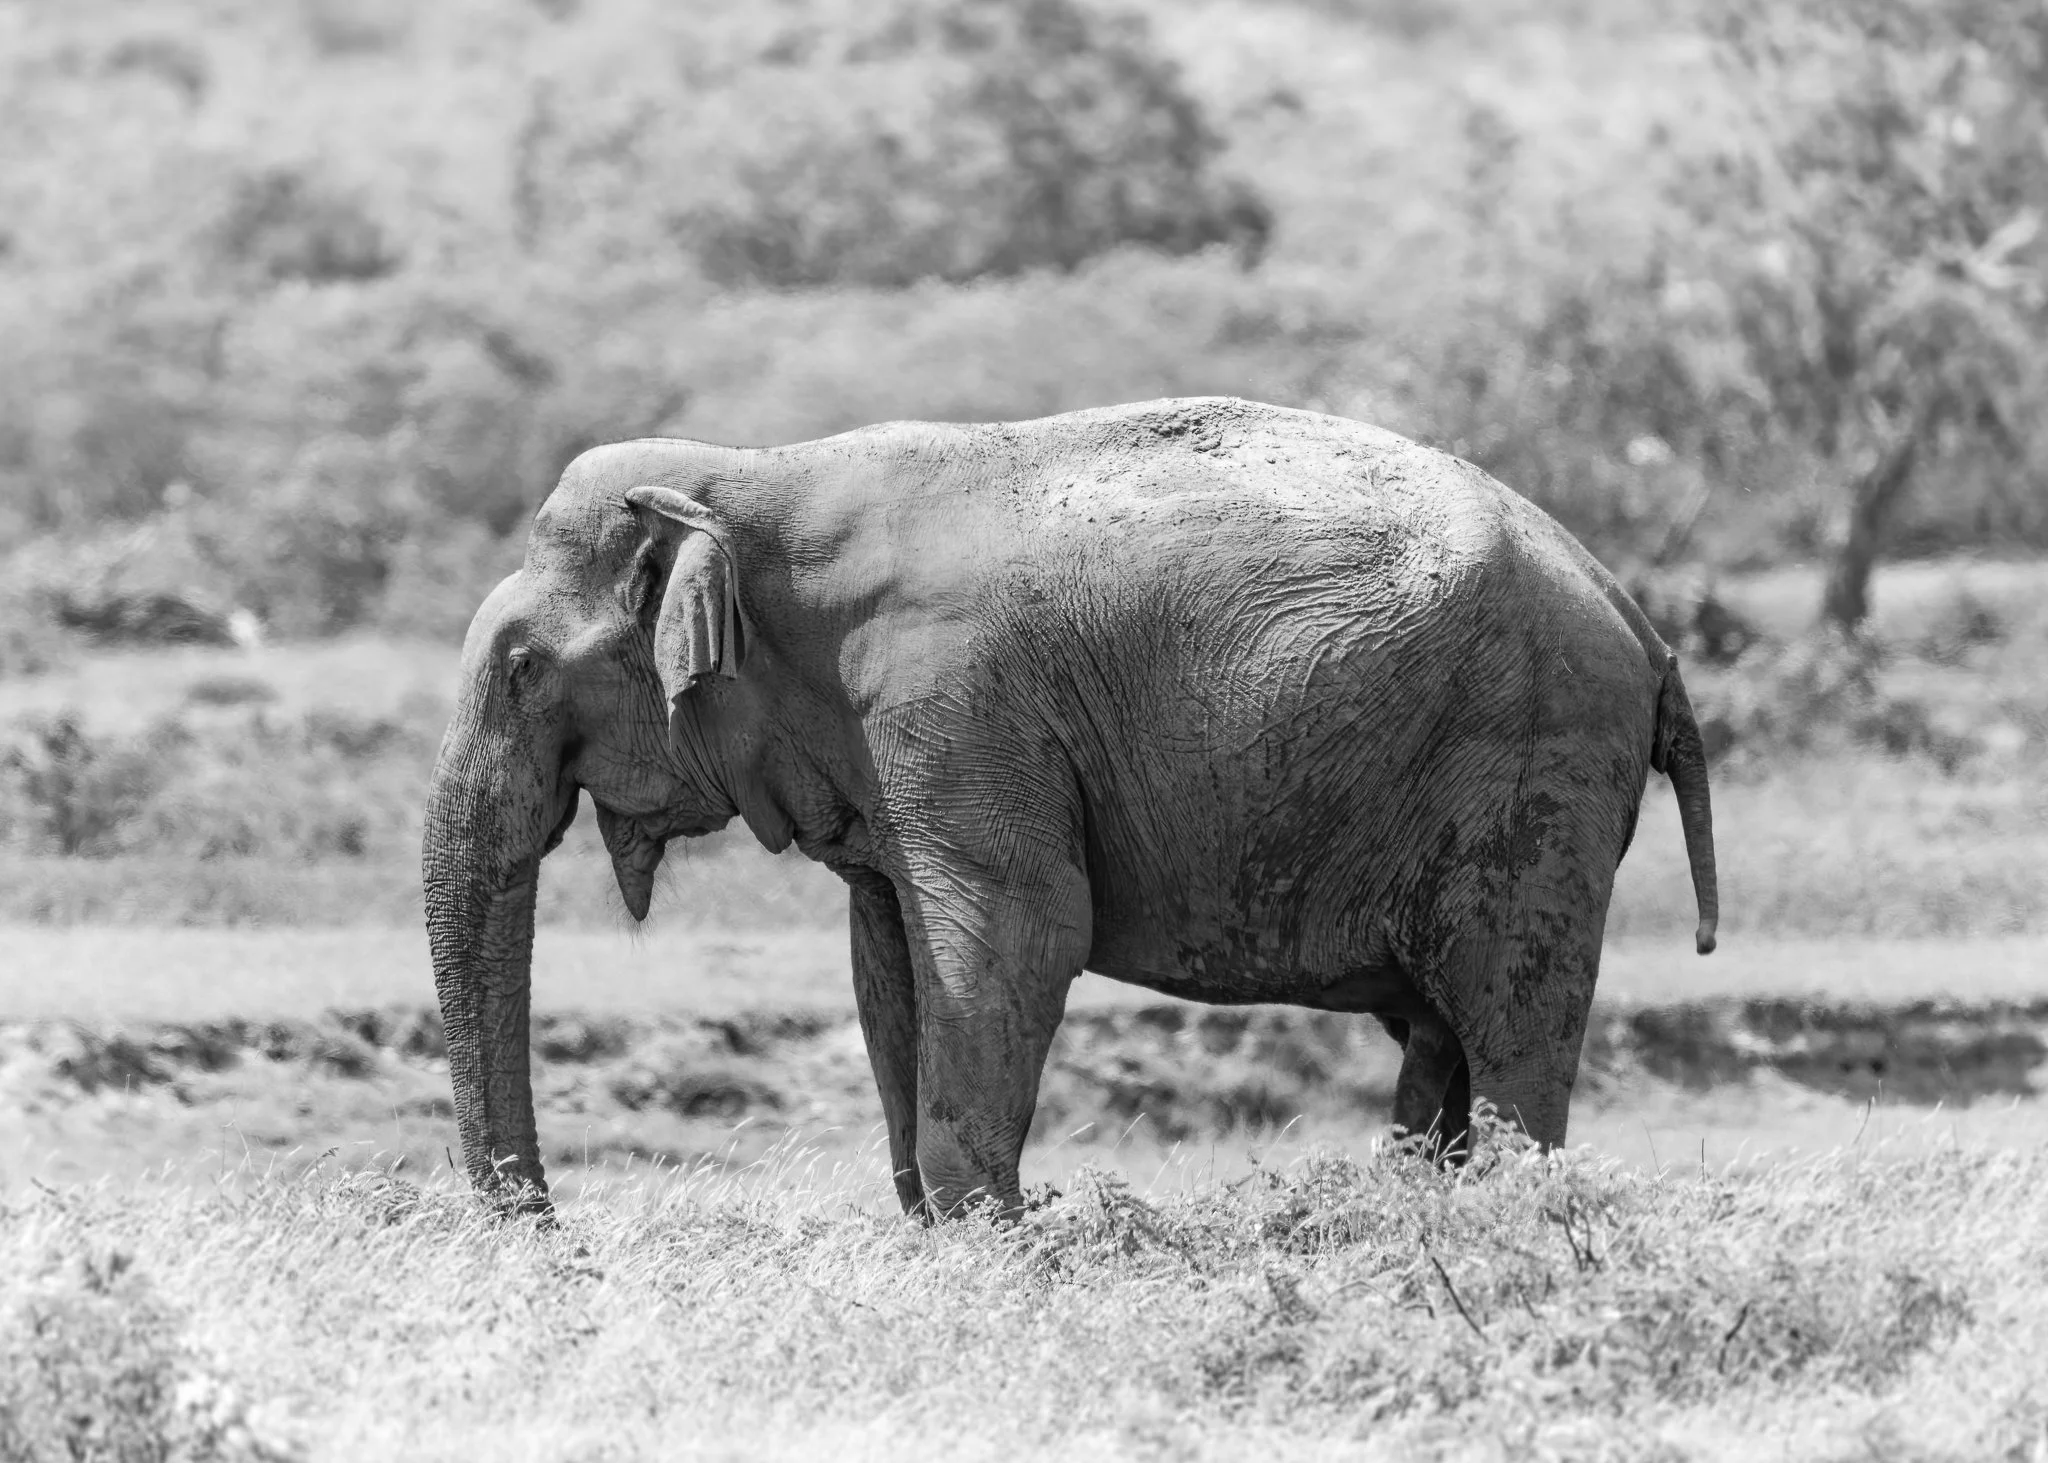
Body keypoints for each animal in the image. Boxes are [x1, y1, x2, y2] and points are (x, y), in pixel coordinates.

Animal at [423, 395, 1718, 1220]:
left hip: (1532, 771)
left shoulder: (952, 702)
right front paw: (944, 1232)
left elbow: (1017, 933)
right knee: (1440, 1029)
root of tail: (1634, 616)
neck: (752, 476)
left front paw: (996, 1237)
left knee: (1509, 1016)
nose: (553, 1229)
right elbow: (887, 959)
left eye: (522, 669)